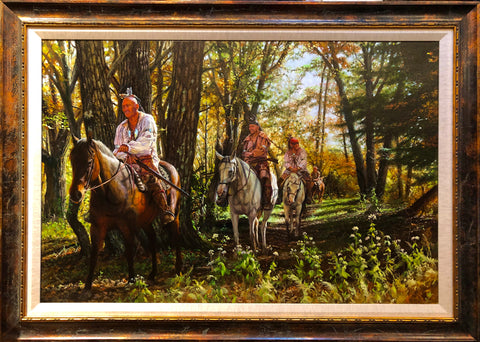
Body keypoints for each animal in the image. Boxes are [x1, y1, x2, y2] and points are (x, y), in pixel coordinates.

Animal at [70, 136, 184, 292]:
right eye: (71, 161)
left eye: (88, 162)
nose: (75, 194)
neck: (112, 189)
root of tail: (172, 168)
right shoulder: (97, 226)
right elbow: (94, 254)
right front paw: (87, 286)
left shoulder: (127, 226)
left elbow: (129, 251)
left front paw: (131, 280)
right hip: (145, 221)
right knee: (152, 239)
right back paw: (153, 273)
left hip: (175, 213)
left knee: (176, 236)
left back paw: (178, 269)